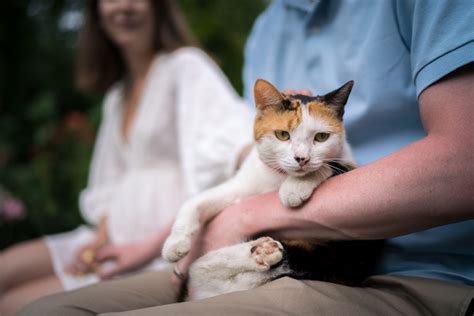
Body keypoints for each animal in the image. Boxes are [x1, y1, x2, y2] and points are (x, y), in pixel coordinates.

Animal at [162, 78, 382, 298]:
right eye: (283, 135)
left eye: (321, 137)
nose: (302, 158)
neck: (277, 179)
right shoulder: (238, 188)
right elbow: (193, 203)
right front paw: (175, 245)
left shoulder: (349, 163)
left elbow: (331, 165)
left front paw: (294, 188)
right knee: (202, 269)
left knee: (203, 268)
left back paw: (261, 251)